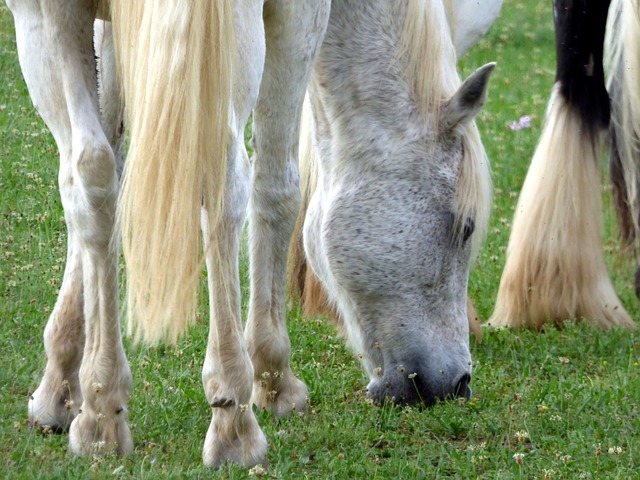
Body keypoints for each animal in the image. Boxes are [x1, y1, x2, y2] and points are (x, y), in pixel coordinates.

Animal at [6, 0, 496, 468]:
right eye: (465, 227)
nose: (455, 383)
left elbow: (107, 160)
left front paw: (61, 385)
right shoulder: (301, 17)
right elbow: (278, 187)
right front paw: (274, 380)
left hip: (48, 20)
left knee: (89, 174)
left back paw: (102, 413)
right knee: (223, 180)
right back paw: (233, 423)